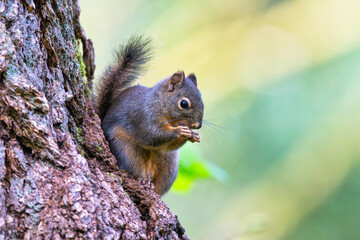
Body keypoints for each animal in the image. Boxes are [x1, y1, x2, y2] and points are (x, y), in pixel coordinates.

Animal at [93, 36, 204, 197]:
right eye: (184, 103)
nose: (197, 125)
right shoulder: (142, 116)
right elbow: (152, 135)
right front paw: (180, 131)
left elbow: (166, 146)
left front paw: (194, 135)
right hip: (127, 152)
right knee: (134, 169)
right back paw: (142, 180)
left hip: (168, 166)